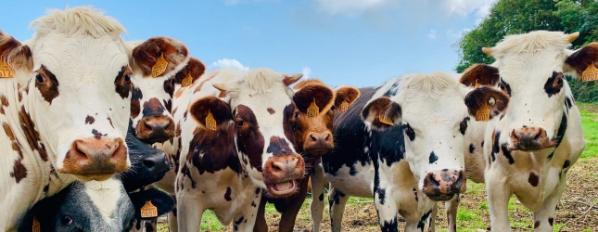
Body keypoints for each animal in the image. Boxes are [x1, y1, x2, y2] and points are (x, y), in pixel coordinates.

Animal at [310, 73, 510, 232]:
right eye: (408, 127)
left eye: (464, 122)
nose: (444, 180)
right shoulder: (384, 198)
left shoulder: (423, 209)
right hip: (316, 173)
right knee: (317, 210)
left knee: (336, 205)